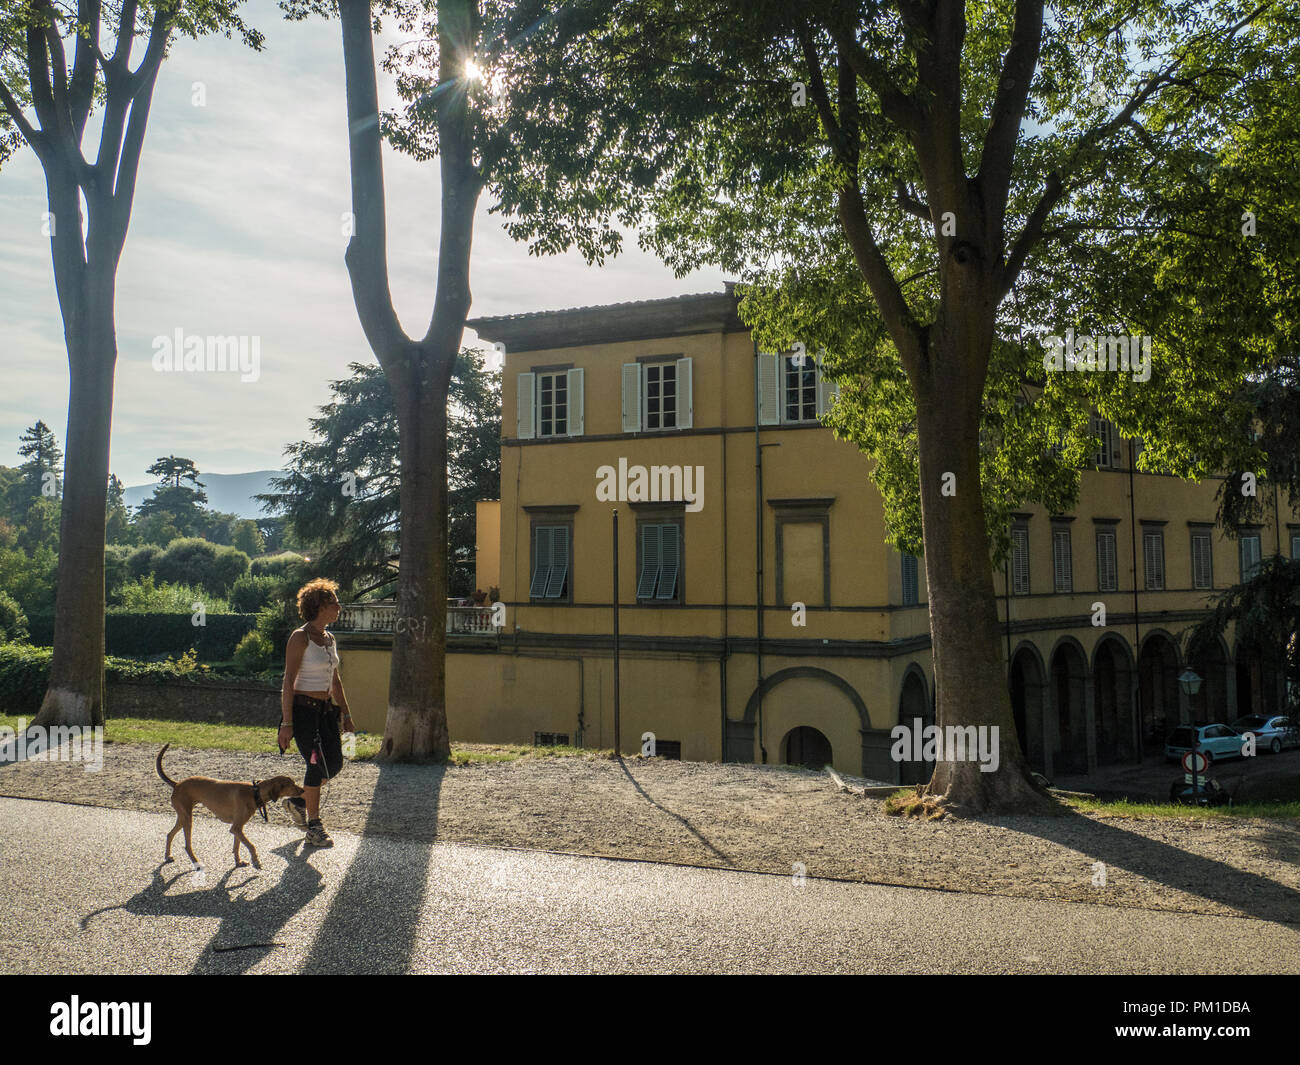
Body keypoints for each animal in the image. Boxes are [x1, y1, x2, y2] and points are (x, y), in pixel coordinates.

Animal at [155, 743, 304, 868]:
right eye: (292, 785)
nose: (303, 790)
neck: (255, 792)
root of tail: (177, 784)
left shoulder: (238, 828)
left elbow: (237, 846)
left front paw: (238, 862)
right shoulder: (236, 828)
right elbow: (251, 846)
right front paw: (256, 861)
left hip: (182, 817)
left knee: (169, 834)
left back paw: (168, 856)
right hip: (187, 819)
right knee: (187, 845)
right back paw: (196, 862)